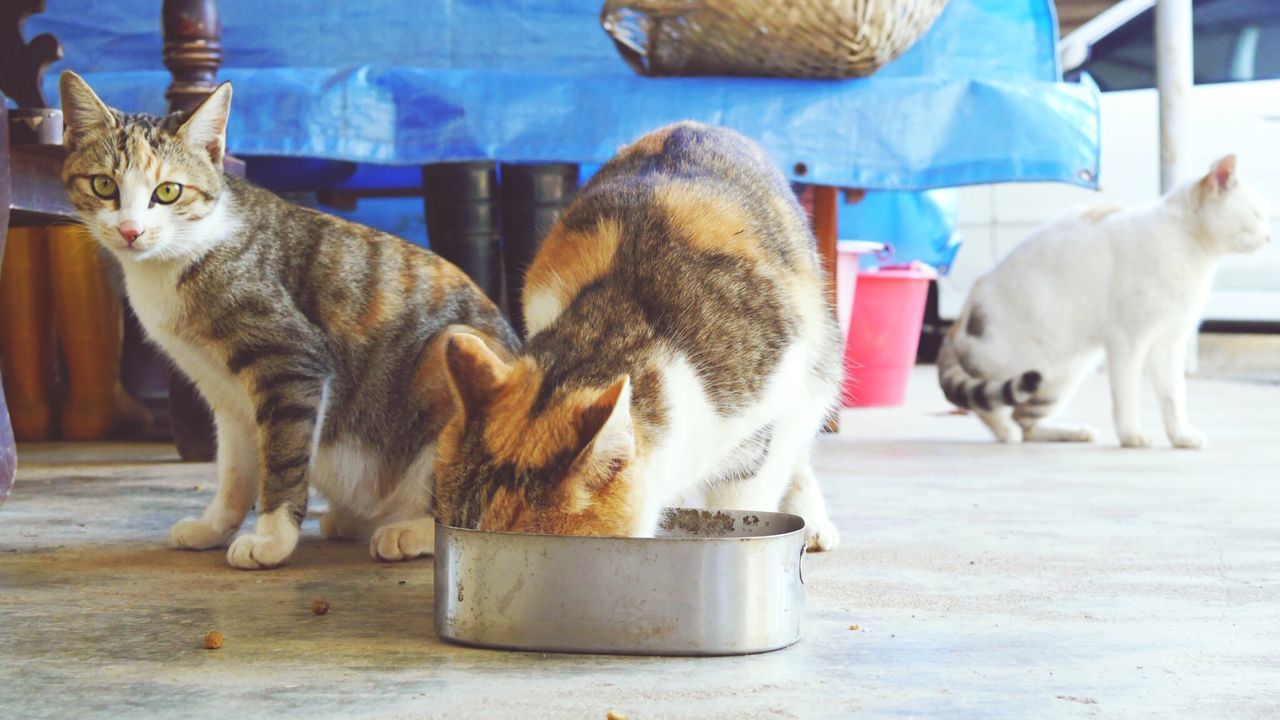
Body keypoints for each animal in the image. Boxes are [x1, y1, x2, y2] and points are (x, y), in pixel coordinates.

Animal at [58, 71, 519, 566]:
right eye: (104, 185)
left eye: (167, 191)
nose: (130, 231)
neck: (183, 252)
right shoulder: (223, 392)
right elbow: (234, 468)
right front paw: (213, 526)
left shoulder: (290, 361)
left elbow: (282, 457)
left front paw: (272, 538)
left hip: (448, 349)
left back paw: (409, 531)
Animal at [936, 156, 1274, 445]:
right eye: (1257, 214)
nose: (1271, 236)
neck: (1193, 252)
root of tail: (958, 322)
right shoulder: (1128, 340)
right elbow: (1127, 394)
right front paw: (1131, 436)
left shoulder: (1169, 341)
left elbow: (1173, 396)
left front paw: (1180, 436)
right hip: (1039, 366)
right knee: (987, 406)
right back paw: (1007, 432)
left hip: (1060, 375)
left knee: (1024, 419)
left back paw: (1071, 432)